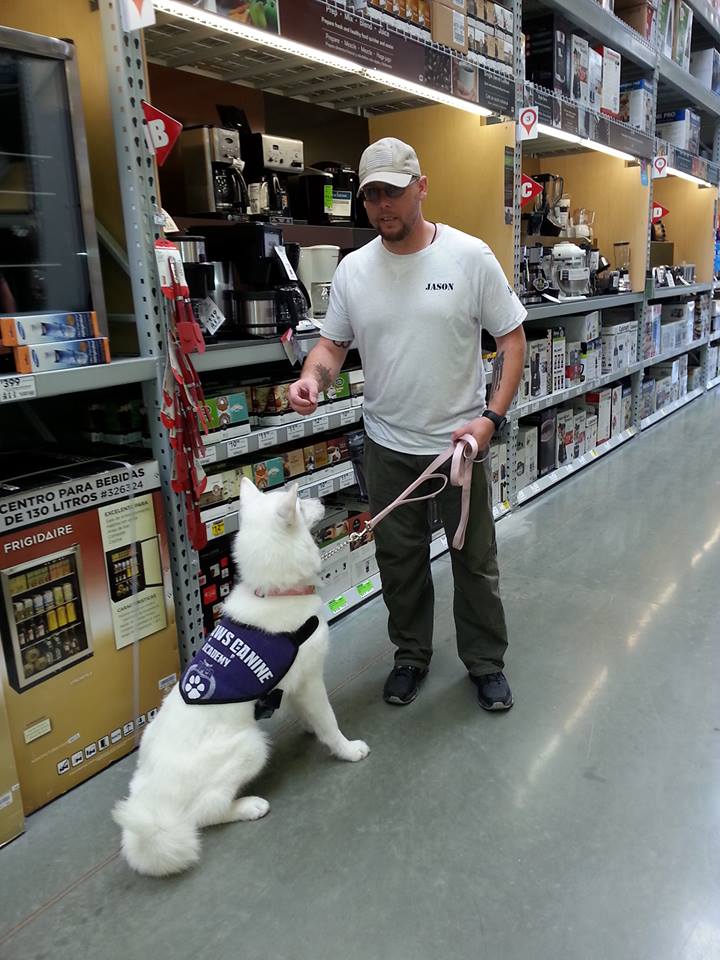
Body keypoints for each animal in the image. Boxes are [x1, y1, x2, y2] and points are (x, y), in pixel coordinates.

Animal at [116, 480, 372, 876]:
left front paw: (309, 728)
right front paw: (346, 749)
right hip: (251, 745)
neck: (276, 593)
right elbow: (329, 721)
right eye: (300, 504)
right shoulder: (311, 679)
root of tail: (153, 807)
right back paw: (249, 806)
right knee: (205, 814)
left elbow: (310, 715)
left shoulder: (295, 684)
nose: (322, 499)